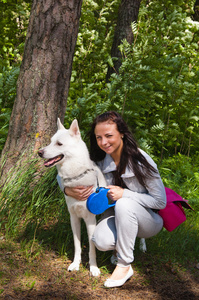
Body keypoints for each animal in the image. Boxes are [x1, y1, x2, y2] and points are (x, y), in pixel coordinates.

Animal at [38, 118, 106, 276]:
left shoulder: (90, 220)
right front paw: (75, 264)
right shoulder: (74, 218)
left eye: (59, 144)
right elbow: (77, 245)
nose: (39, 152)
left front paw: (93, 268)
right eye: (50, 142)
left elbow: (92, 248)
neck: (77, 176)